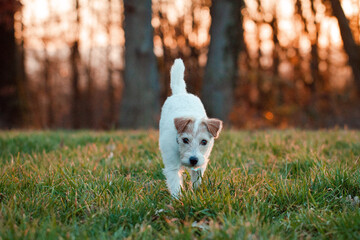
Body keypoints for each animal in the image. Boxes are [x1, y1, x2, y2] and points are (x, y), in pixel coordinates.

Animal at [160, 58, 222, 197]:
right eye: (185, 140)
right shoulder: (172, 165)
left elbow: (197, 180)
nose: (193, 160)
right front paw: (178, 199)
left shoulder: (201, 163)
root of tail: (181, 93)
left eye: (204, 142)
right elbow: (175, 183)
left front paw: (196, 193)